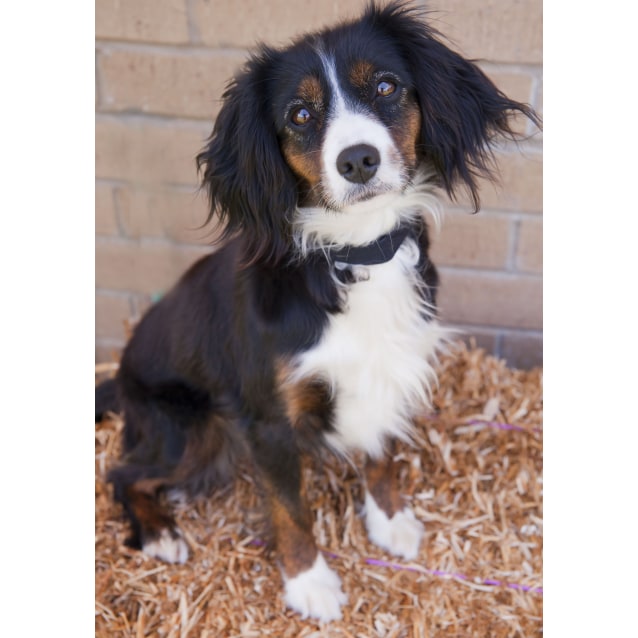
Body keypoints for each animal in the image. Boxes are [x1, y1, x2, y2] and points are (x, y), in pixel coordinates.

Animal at [96, 0, 540, 620]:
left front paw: (389, 522)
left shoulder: (390, 367)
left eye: (386, 86)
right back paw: (161, 532)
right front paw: (309, 583)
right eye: (301, 114)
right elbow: (290, 507)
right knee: (123, 473)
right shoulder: (268, 418)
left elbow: (382, 452)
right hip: (189, 426)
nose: (358, 160)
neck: (357, 252)